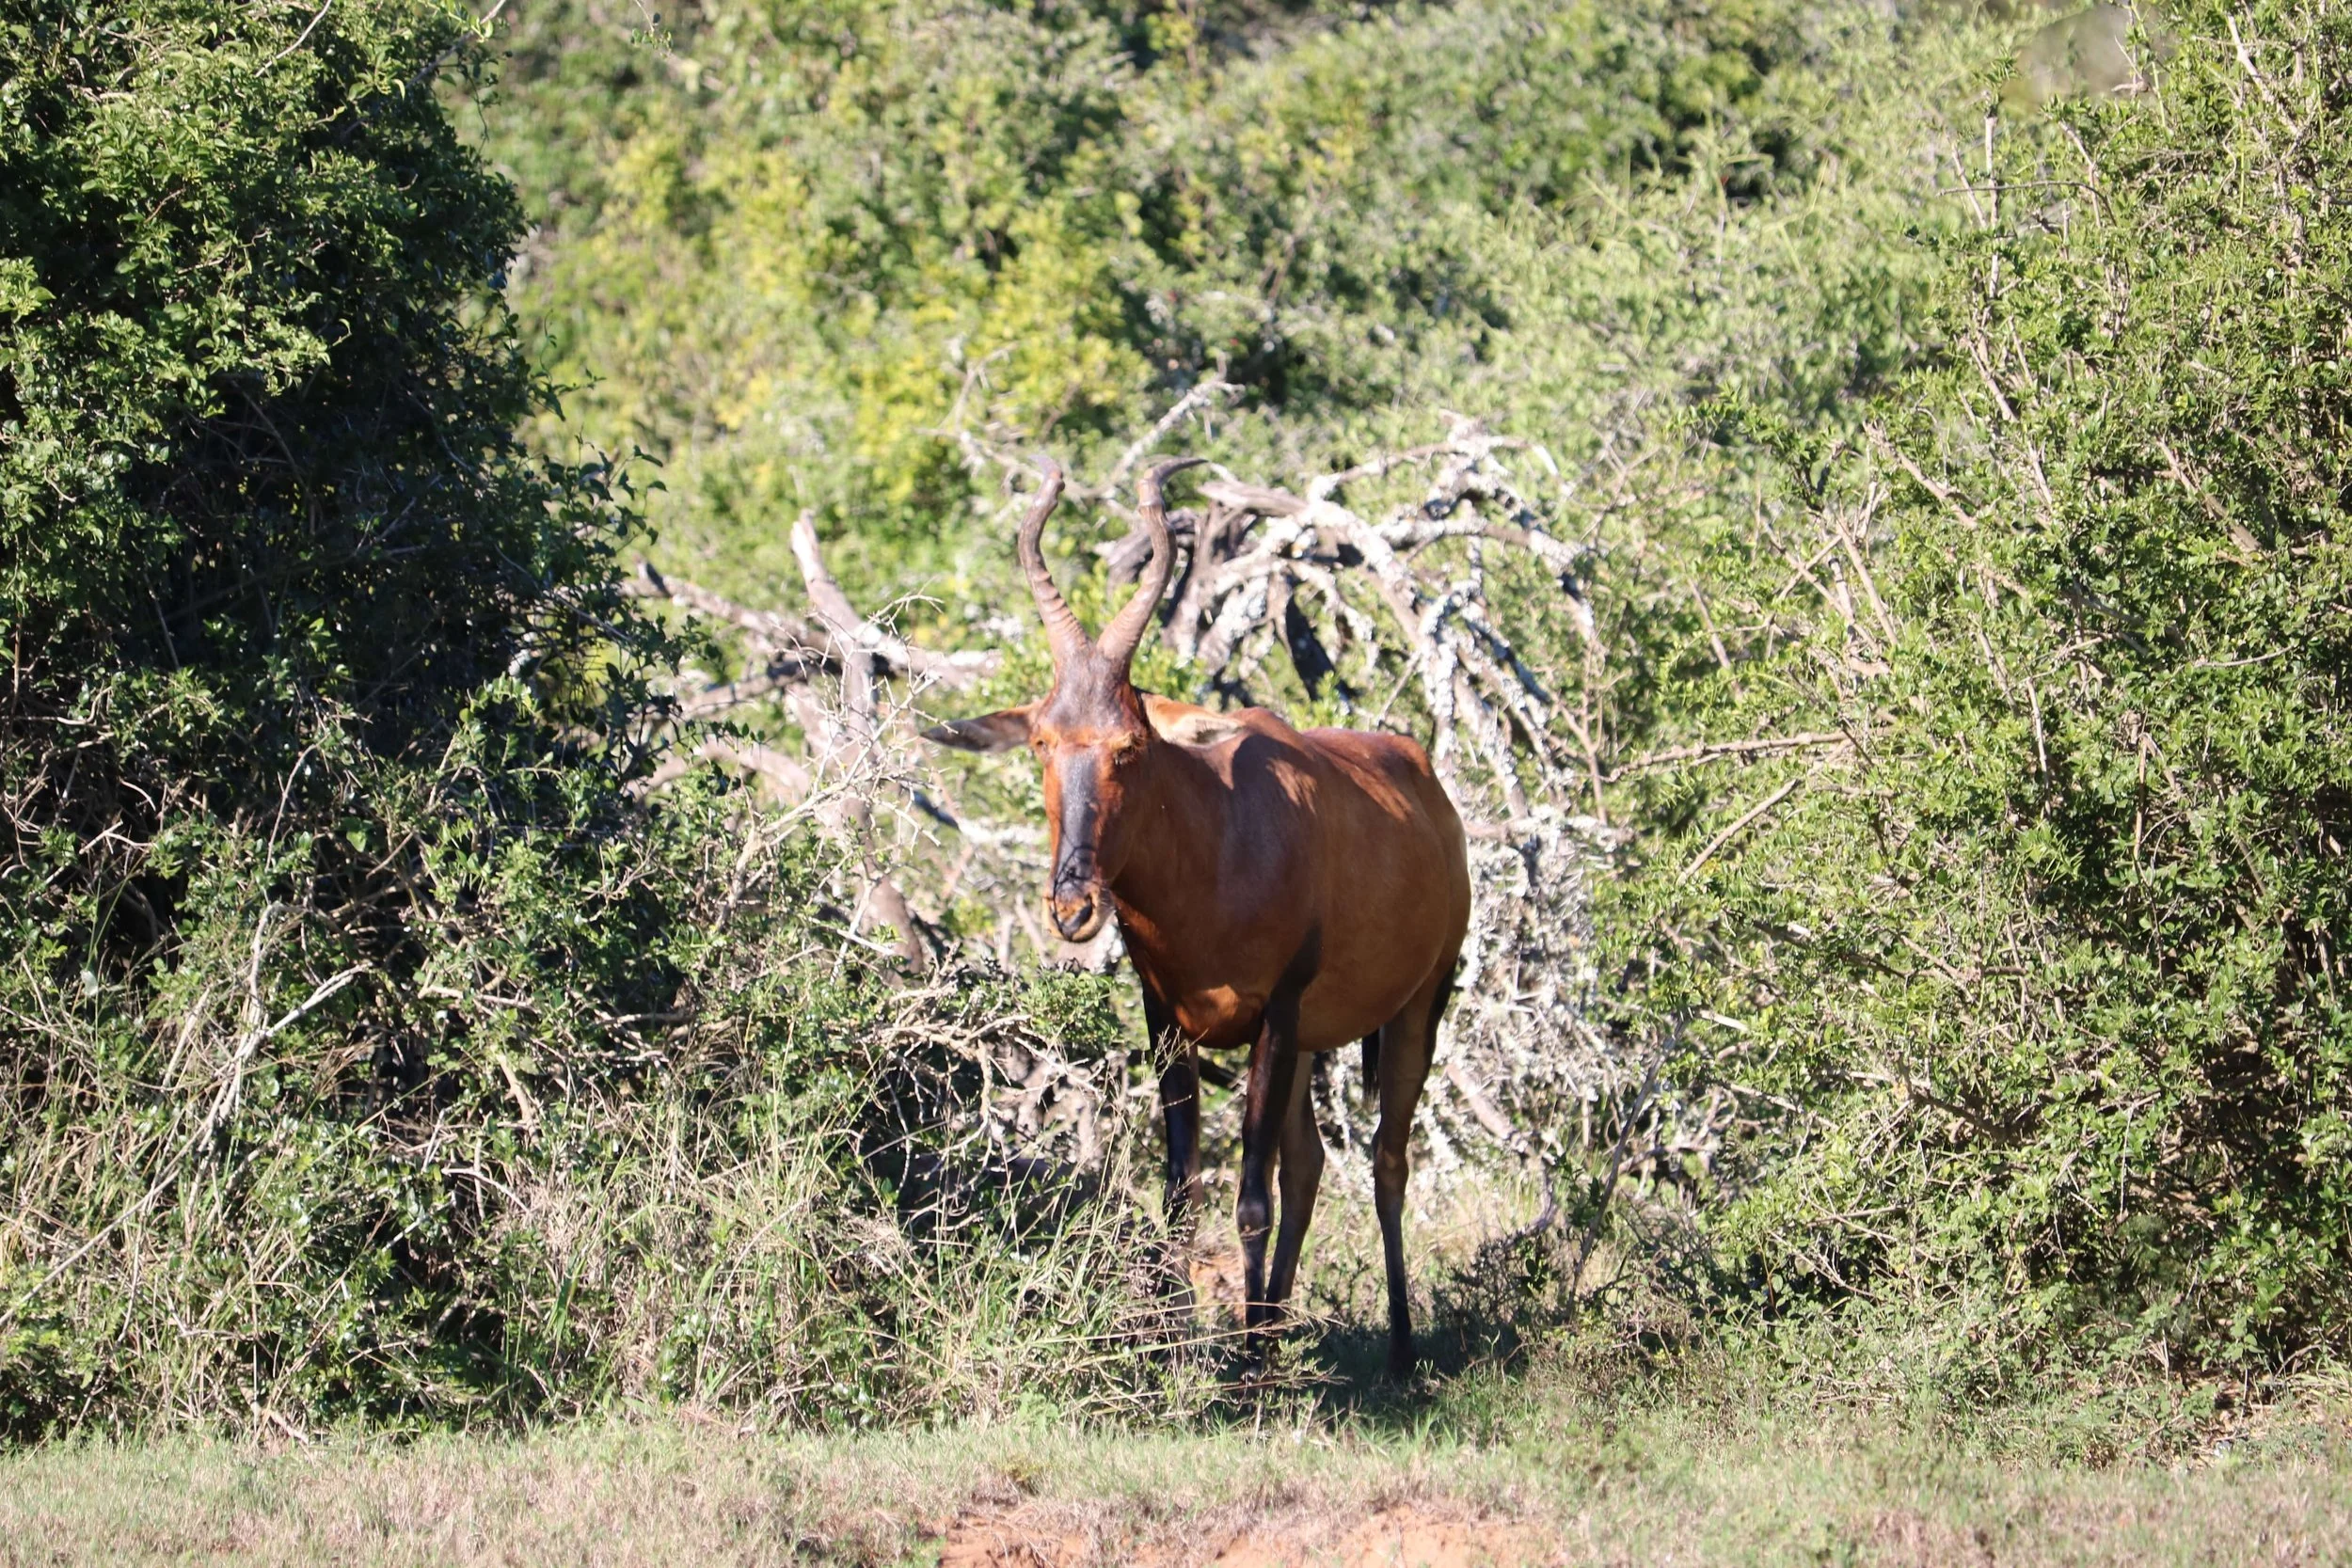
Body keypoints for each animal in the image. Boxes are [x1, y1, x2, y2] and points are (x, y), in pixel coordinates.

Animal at [924, 455, 1471, 1377]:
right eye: (1041, 740)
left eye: (1130, 742)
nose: (1074, 904)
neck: (1221, 832)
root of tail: (1422, 775)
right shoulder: (1169, 1023)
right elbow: (1181, 1190)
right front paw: (1177, 1352)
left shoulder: (1274, 1015)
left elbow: (1248, 1197)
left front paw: (1240, 1375)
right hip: (1315, 1043)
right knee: (1310, 1162)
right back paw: (1276, 1330)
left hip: (1416, 1009)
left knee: (1385, 1160)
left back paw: (1393, 1350)